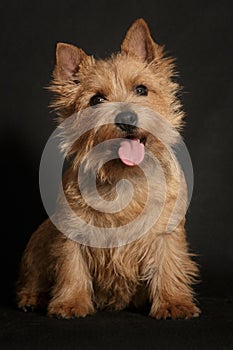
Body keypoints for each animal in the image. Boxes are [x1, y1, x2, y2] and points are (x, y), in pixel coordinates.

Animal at [16, 19, 200, 320]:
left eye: (141, 89)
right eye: (97, 100)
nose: (126, 118)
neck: (124, 175)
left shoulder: (165, 232)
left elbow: (168, 266)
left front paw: (174, 303)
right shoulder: (72, 232)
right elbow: (71, 269)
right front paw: (70, 303)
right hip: (40, 241)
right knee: (33, 277)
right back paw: (33, 298)